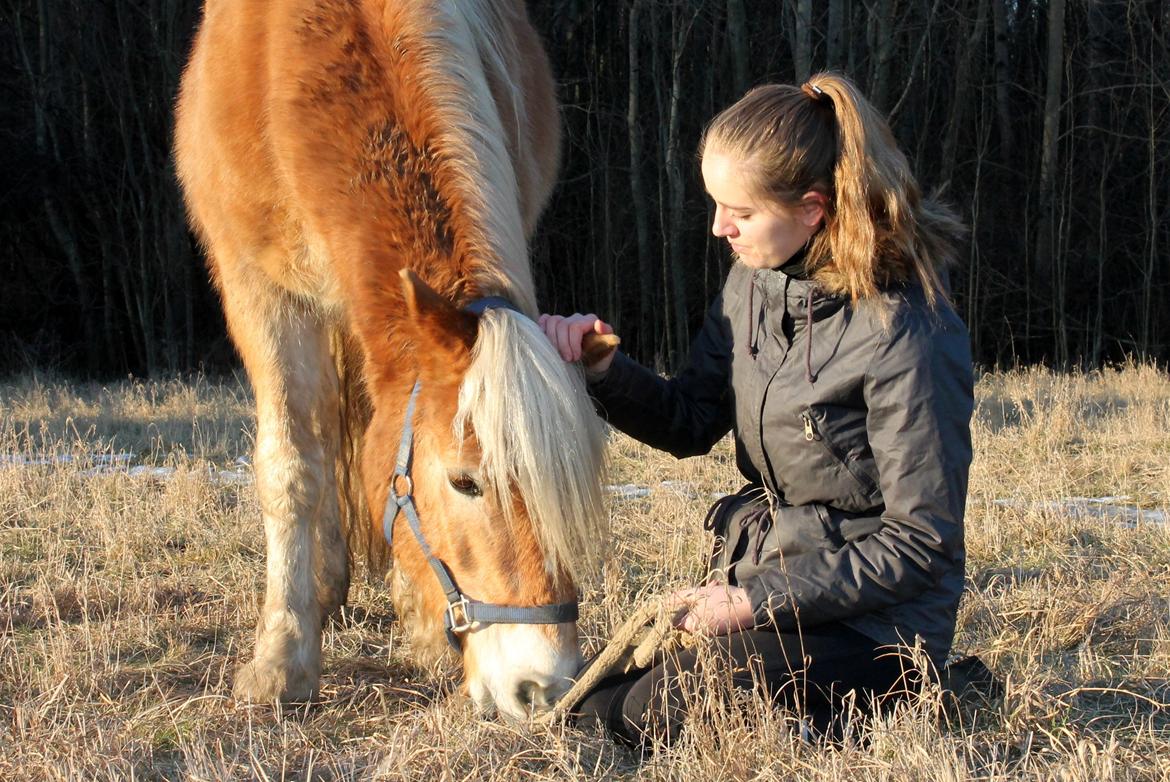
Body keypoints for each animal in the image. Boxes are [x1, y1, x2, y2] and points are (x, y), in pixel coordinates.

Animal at [175, 1, 613, 721]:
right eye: (465, 482)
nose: (543, 686)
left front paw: (424, 628)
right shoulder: (262, 295)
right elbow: (291, 469)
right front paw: (281, 662)